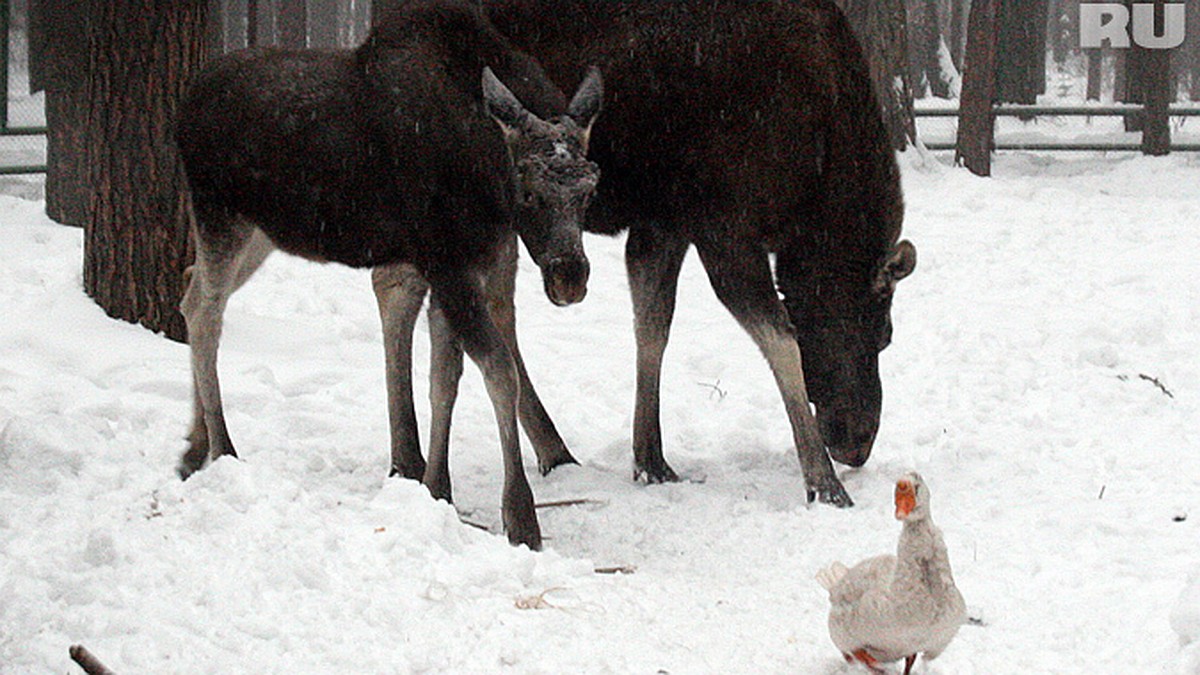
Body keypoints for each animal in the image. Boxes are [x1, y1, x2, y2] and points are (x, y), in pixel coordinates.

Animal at [174, 0, 604, 547]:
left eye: (590, 189)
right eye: (528, 190)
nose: (570, 277)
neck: (485, 173)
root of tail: (181, 108)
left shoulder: (465, 265)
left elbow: (445, 377)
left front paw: (436, 485)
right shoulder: (449, 263)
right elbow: (498, 372)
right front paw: (520, 515)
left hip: (259, 233)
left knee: (191, 294)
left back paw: (194, 444)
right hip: (220, 216)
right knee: (206, 312)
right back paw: (223, 446)